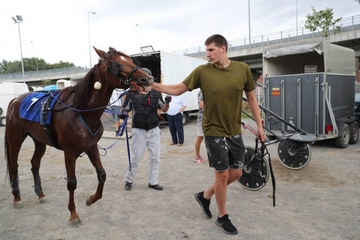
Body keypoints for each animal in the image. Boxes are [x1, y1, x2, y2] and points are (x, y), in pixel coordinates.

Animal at [4, 47, 153, 227]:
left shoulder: (91, 147)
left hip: (39, 140)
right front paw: (73, 214)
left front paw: (91, 198)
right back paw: (17, 197)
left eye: (132, 61)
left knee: (35, 163)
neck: (81, 111)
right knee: (13, 165)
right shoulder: (69, 152)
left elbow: (102, 174)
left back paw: (40, 194)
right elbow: (72, 182)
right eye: (117, 64)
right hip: (15, 138)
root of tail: (15, 100)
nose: (147, 78)